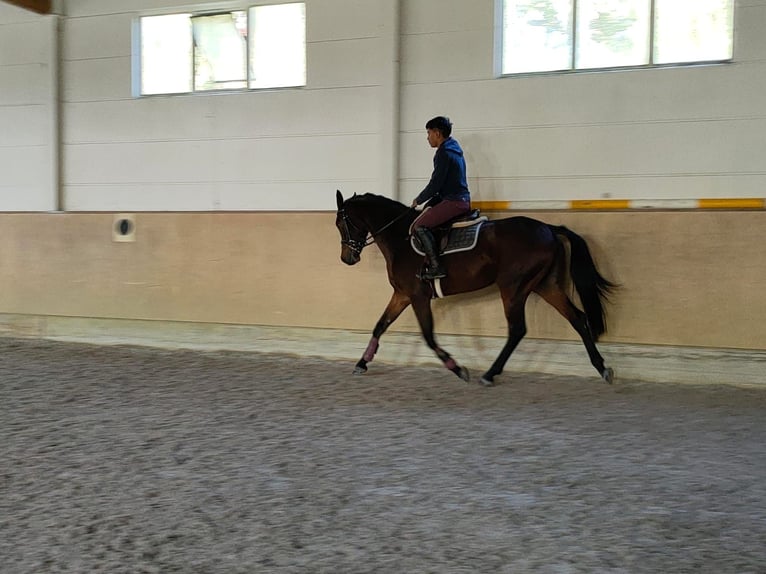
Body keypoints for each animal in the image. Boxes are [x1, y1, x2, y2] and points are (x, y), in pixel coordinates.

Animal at [336, 192, 616, 388]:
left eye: (341, 223)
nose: (347, 258)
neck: (400, 240)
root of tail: (548, 228)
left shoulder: (417, 296)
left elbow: (428, 336)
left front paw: (458, 369)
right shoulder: (402, 295)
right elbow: (380, 325)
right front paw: (362, 363)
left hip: (514, 287)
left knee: (517, 329)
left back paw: (490, 374)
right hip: (546, 285)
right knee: (578, 318)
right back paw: (602, 368)